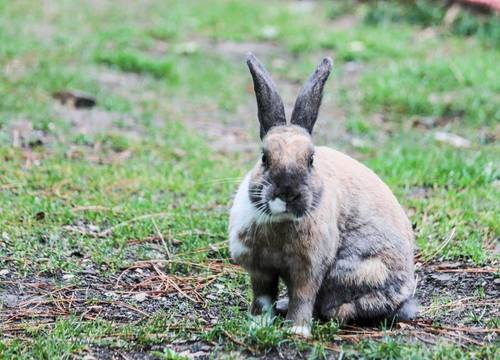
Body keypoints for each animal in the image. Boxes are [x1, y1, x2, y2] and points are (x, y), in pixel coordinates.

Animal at [229, 54, 416, 338]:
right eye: (264, 157)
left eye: (311, 160)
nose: (288, 193)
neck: (281, 223)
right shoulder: (260, 270)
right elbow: (261, 298)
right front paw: (258, 324)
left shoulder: (308, 269)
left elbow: (303, 297)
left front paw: (297, 330)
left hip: (359, 272)